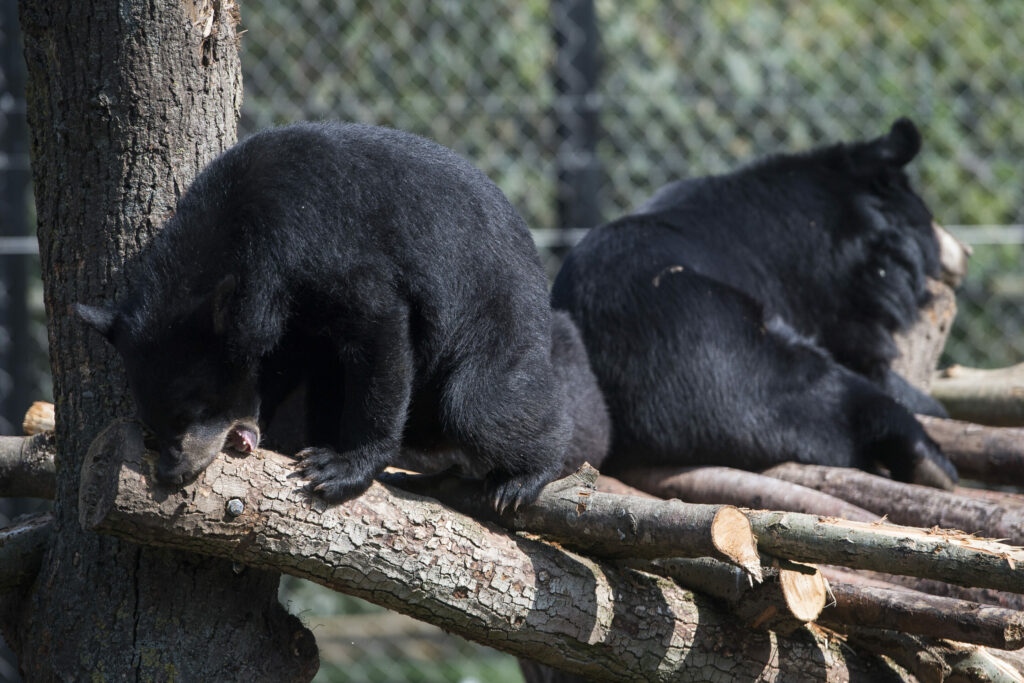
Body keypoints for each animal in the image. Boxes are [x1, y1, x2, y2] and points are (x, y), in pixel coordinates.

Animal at [79, 121, 606, 511]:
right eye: (151, 422)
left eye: (191, 410)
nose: (173, 473)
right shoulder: (290, 310)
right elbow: (289, 356)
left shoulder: (328, 247)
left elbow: (380, 332)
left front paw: (337, 468)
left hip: (496, 314)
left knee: (481, 402)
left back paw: (524, 478)